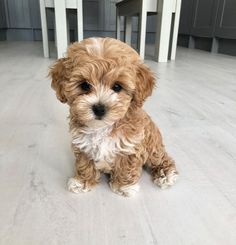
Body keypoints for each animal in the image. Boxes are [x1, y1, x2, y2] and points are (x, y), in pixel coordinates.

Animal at [50, 36, 179, 197]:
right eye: (85, 85)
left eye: (117, 87)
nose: (99, 108)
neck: (103, 127)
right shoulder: (83, 144)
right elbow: (84, 164)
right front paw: (82, 182)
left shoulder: (130, 146)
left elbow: (126, 166)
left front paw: (124, 187)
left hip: (153, 147)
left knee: (161, 159)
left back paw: (166, 174)